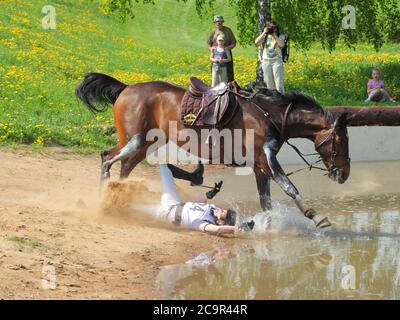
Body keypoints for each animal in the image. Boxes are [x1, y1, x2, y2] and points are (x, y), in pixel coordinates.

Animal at [76, 72, 350, 228]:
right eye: (340, 141)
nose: (345, 174)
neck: (269, 114)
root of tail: (126, 88)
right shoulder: (266, 160)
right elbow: (289, 187)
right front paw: (315, 216)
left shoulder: (260, 165)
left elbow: (266, 201)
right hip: (135, 139)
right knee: (107, 158)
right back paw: (105, 198)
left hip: (146, 143)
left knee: (125, 166)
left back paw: (118, 198)